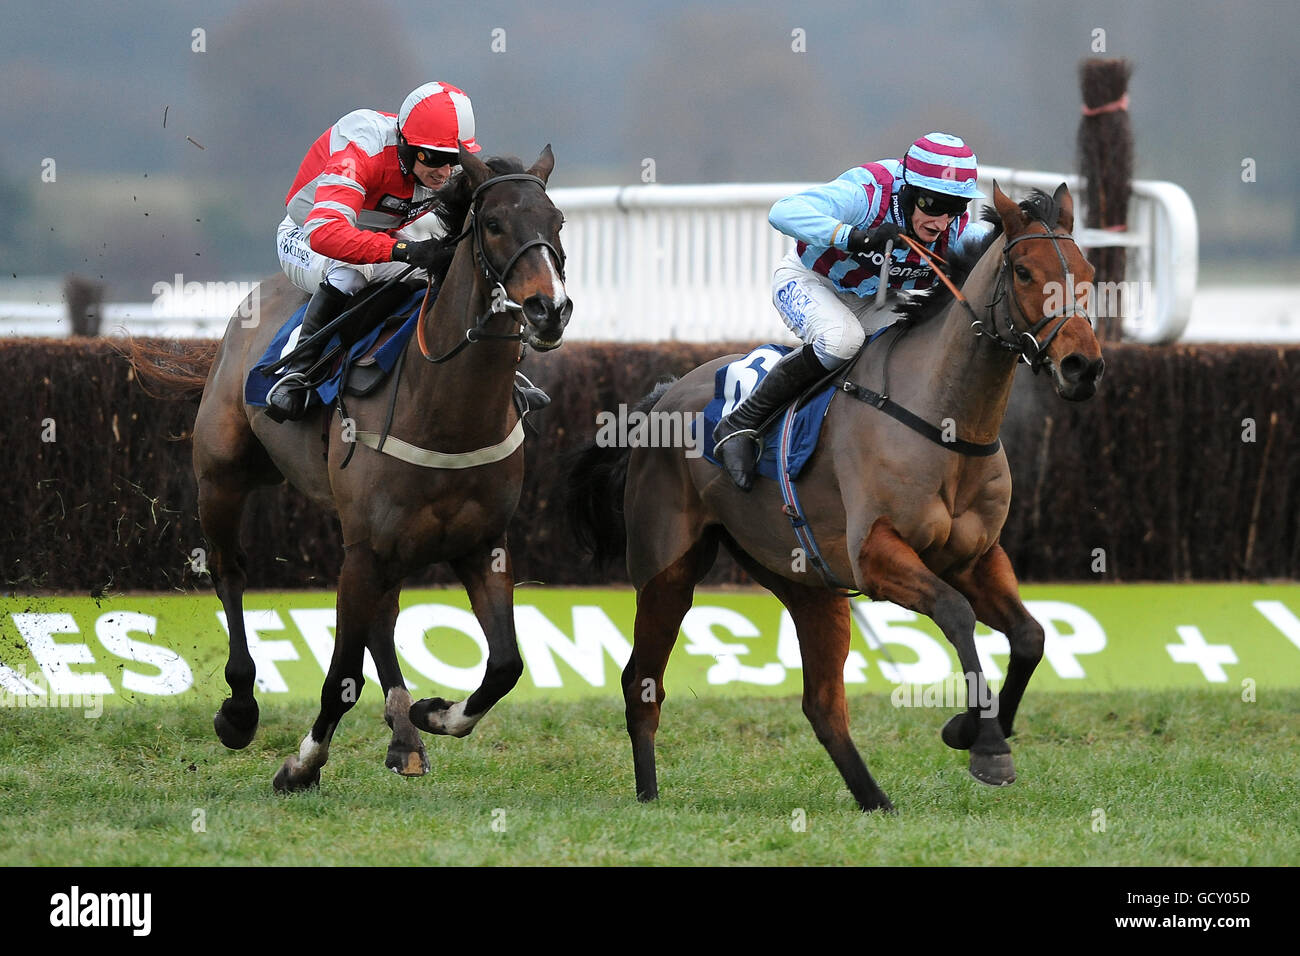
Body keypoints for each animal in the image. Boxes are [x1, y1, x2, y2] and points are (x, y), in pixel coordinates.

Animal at [129, 145, 572, 790]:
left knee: (384, 619)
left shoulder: (481, 543)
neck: (445, 408)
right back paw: (240, 708)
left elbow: (506, 665)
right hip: (222, 476)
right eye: (493, 224)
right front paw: (301, 764)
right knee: (229, 573)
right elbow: (340, 676)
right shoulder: (362, 548)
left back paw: (405, 734)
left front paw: (433, 712)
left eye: (557, 222)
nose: (549, 310)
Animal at [569, 183, 1097, 811]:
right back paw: (649, 796)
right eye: (1023, 272)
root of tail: (661, 396)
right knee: (641, 681)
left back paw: (876, 800)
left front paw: (978, 728)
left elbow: (1031, 636)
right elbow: (956, 613)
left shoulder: (976, 557)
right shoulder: (876, 556)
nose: (1082, 366)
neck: (943, 423)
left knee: (822, 704)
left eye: (1089, 272)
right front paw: (986, 744)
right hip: (667, 569)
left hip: (806, 580)